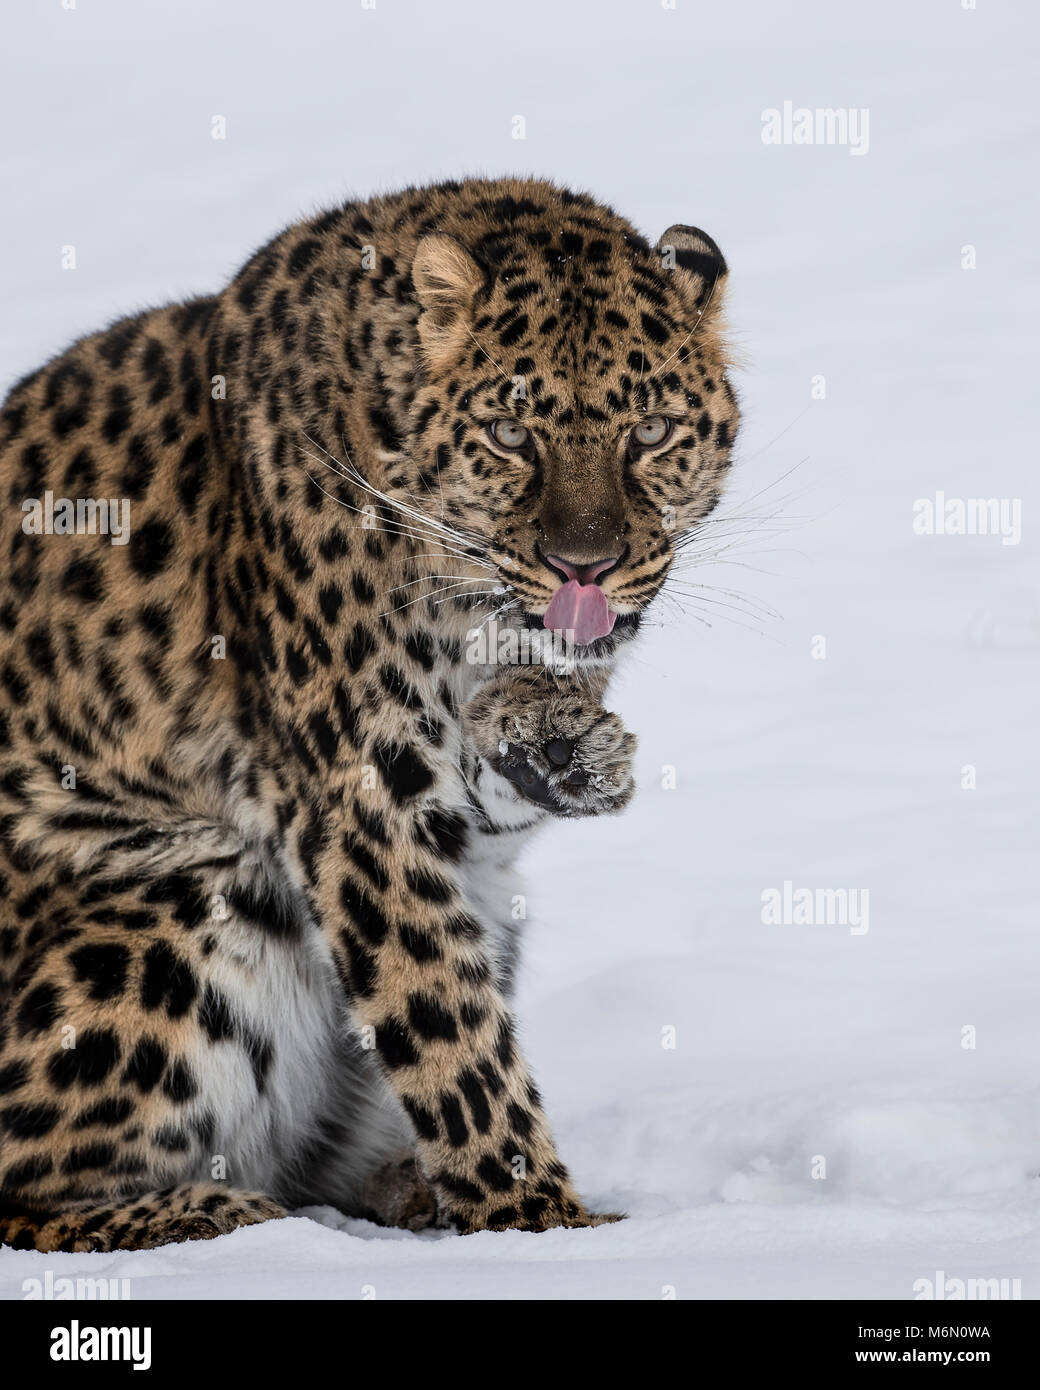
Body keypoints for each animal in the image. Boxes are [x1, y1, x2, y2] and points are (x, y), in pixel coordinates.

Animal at [0, 176, 738, 1251]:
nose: (584, 567)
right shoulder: (361, 801)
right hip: (181, 898)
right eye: (511, 434)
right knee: (31, 1188)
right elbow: (449, 1031)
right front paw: (544, 1225)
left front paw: (565, 741)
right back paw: (226, 1215)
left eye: (650, 434)